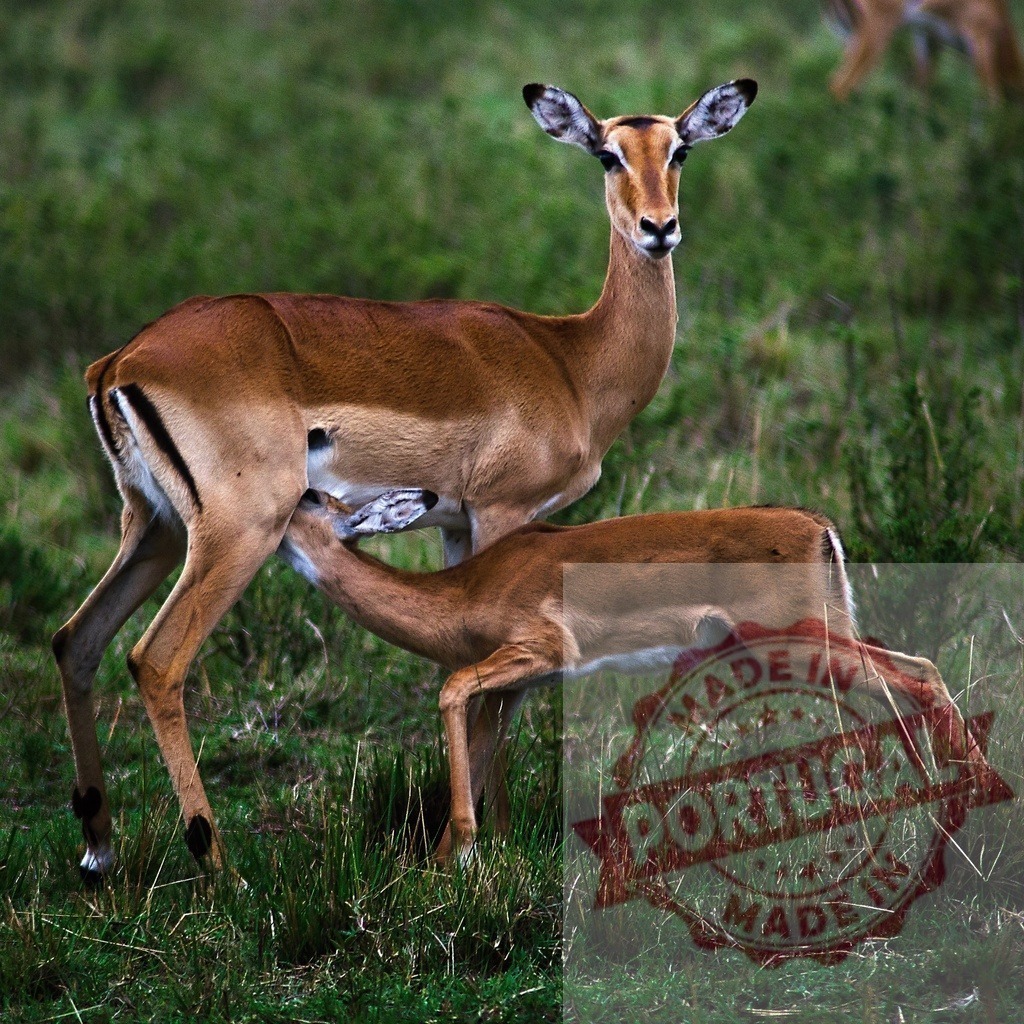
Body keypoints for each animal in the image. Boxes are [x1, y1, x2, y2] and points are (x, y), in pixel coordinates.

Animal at [53, 79, 758, 880]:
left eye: (680, 148)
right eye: (607, 154)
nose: (658, 229)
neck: (570, 360)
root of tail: (119, 362)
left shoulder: (455, 527)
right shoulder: (502, 512)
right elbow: (504, 695)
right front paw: (487, 843)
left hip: (157, 528)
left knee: (77, 640)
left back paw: (100, 851)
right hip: (239, 532)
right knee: (157, 661)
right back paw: (220, 865)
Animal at [279, 489, 988, 863]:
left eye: (307, 496)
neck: (465, 591)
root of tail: (818, 526)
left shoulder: (537, 654)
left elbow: (451, 695)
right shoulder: (515, 688)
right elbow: (482, 761)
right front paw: (444, 874)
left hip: (804, 644)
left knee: (912, 680)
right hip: (826, 637)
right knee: (914, 676)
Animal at [827, 0, 1024, 100]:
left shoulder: (928, 39)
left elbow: (921, 93)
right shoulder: (981, 38)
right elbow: (991, 95)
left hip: (850, 33)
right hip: (876, 29)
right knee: (840, 83)